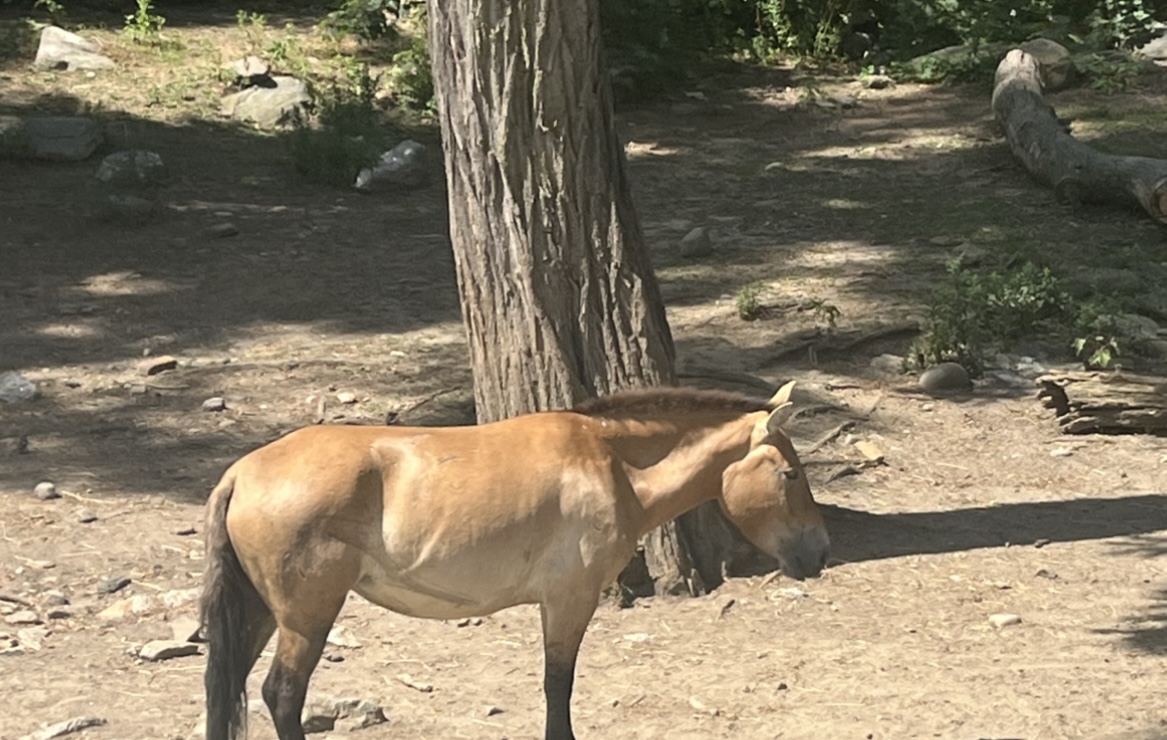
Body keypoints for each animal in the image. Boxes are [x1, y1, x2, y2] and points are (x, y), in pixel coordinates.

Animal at [200, 381, 829, 740]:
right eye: (791, 474)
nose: (820, 551)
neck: (610, 462)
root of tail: (240, 473)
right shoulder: (569, 600)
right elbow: (558, 685)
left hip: (261, 616)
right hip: (306, 618)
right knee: (283, 695)